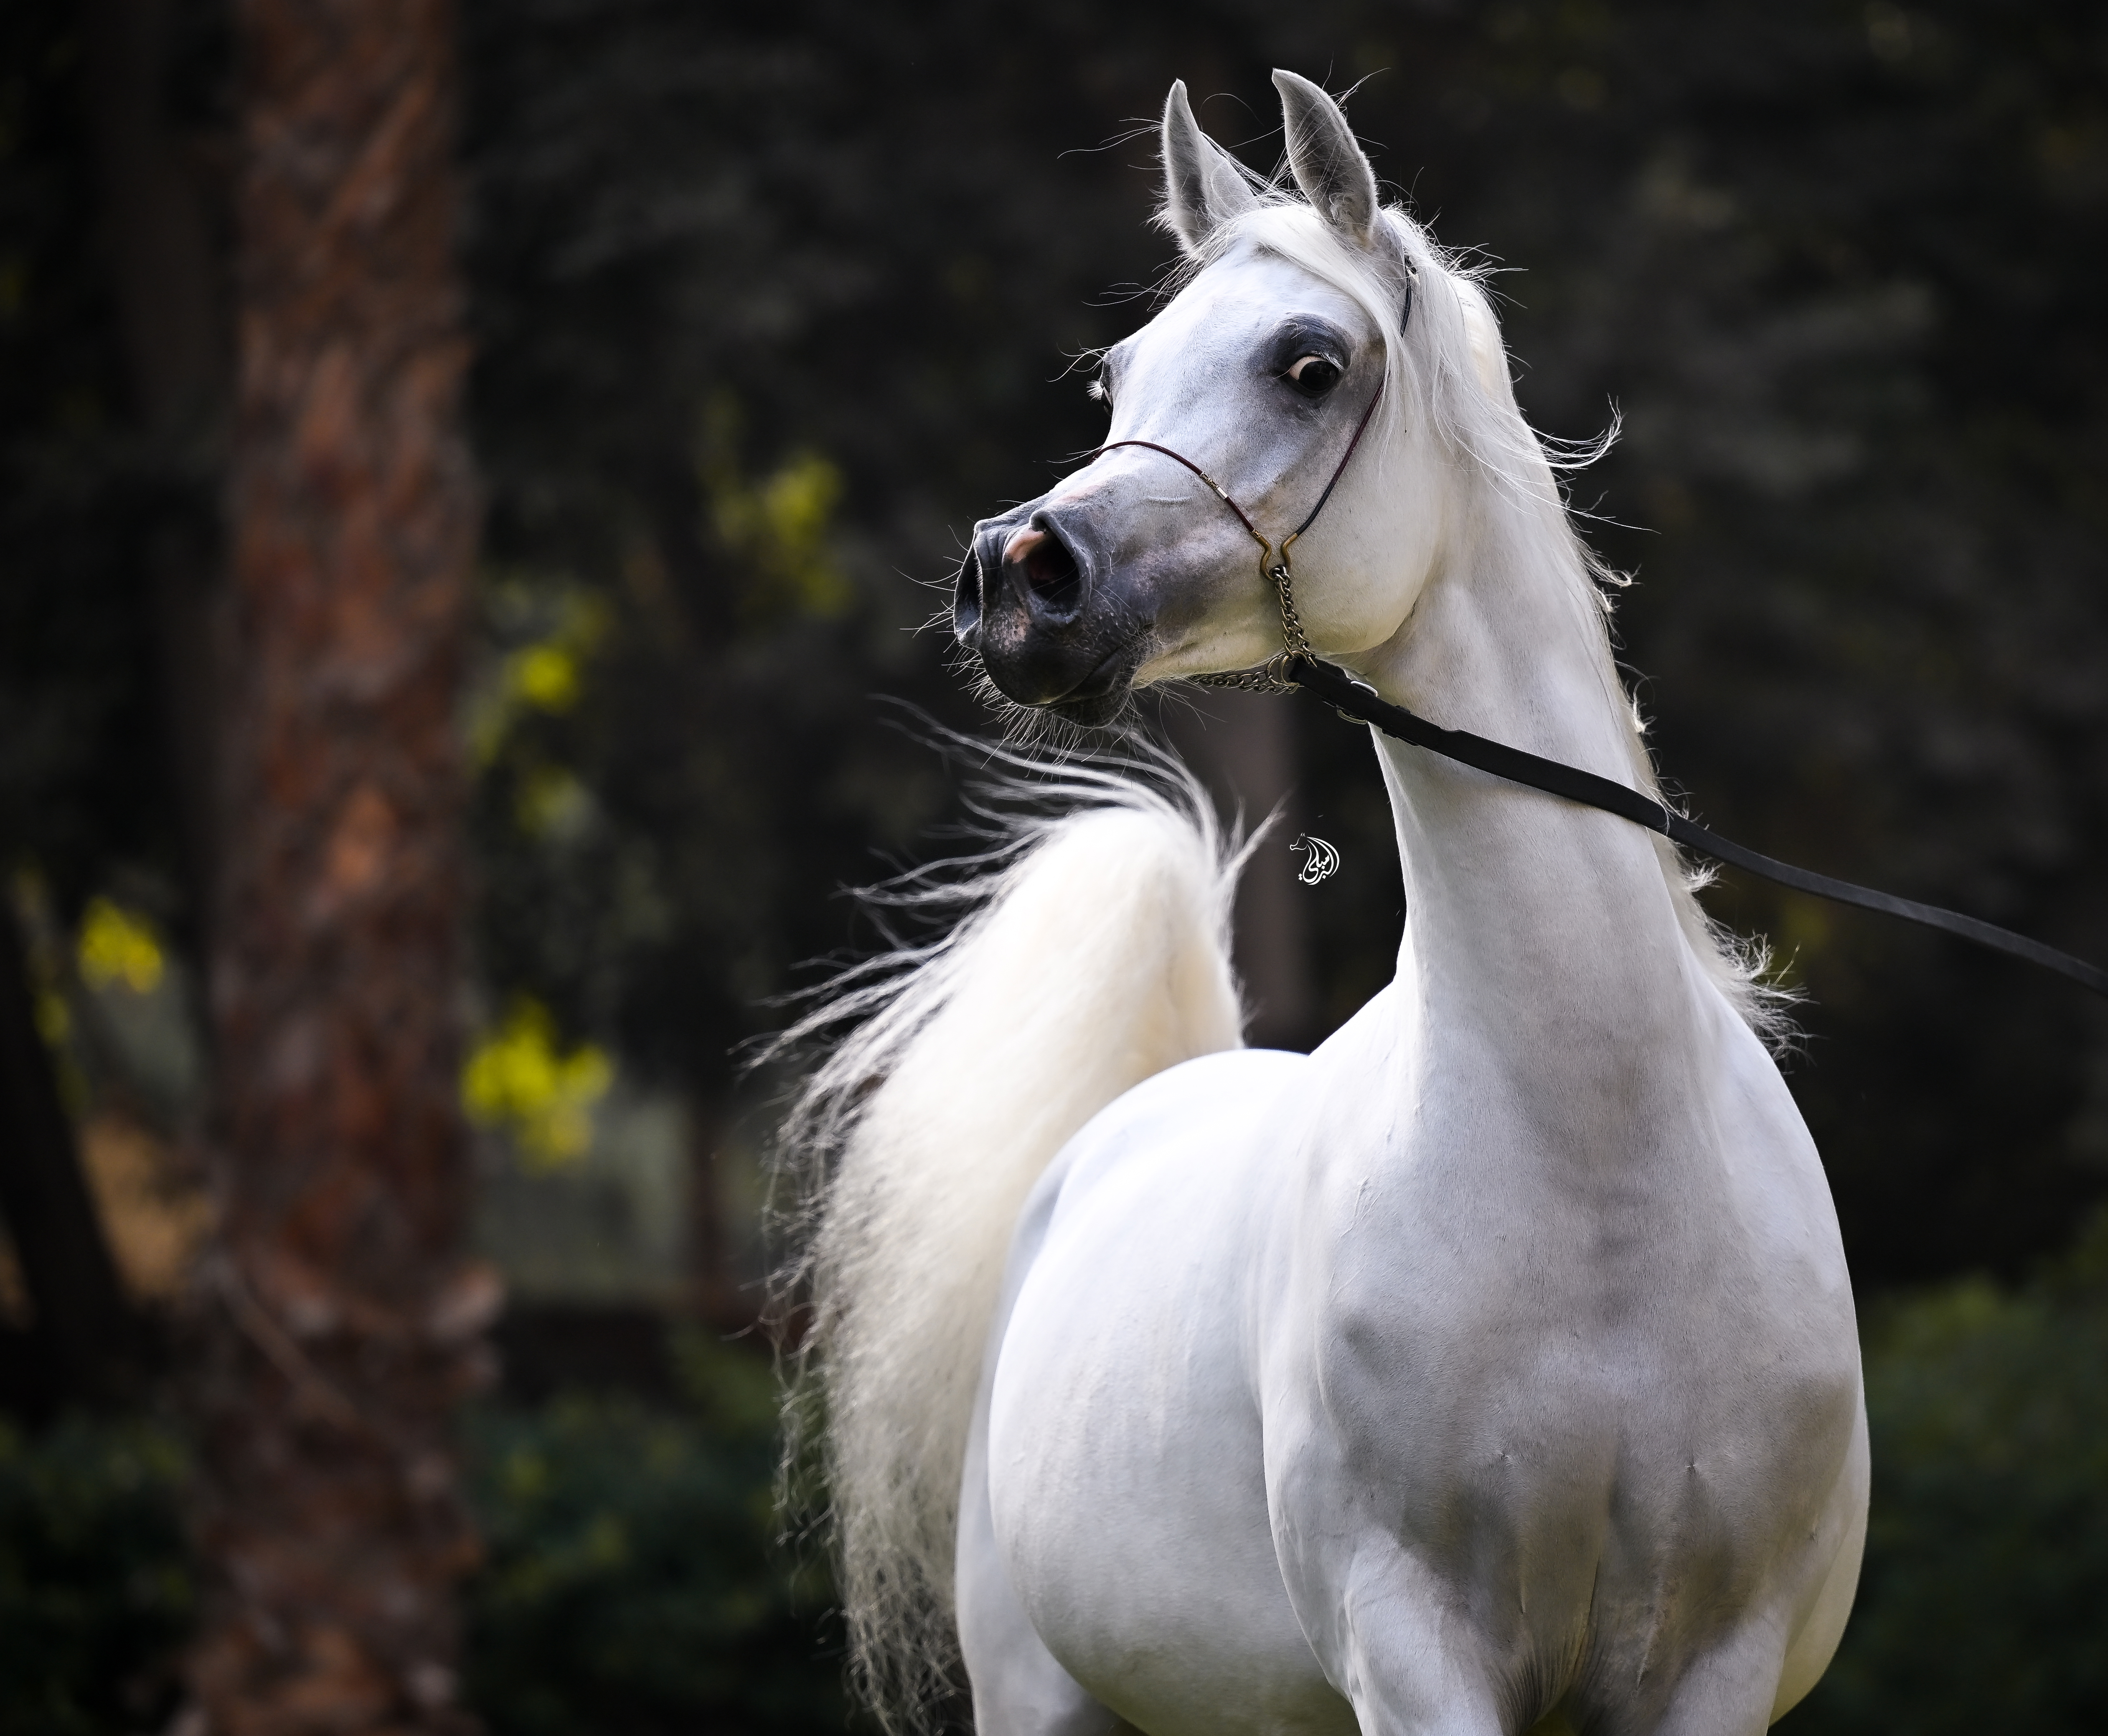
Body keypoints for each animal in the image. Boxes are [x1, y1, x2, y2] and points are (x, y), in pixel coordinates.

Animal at [777, 70, 1868, 1736]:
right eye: (1115, 379)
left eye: (1309, 362)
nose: (1013, 578)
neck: (1602, 1171)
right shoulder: (1414, 1652)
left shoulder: (1711, 1665)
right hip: (1044, 1695)